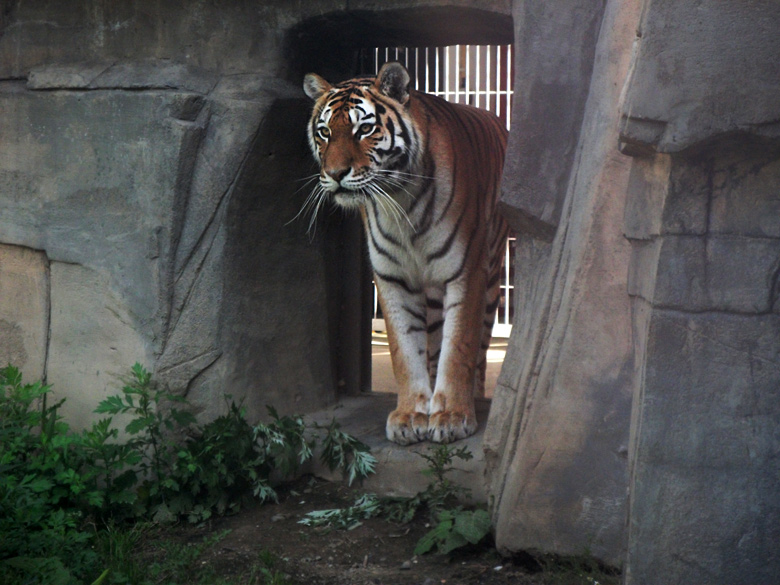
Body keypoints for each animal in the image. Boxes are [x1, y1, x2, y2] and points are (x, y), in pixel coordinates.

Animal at [302, 62, 508, 442]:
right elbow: (405, 349)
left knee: (480, 344)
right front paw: (412, 414)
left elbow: (459, 346)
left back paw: (473, 397)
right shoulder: (392, 277)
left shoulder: (465, 273)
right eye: (324, 133)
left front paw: (453, 415)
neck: (400, 204)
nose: (335, 174)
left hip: (490, 279)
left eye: (364, 129)